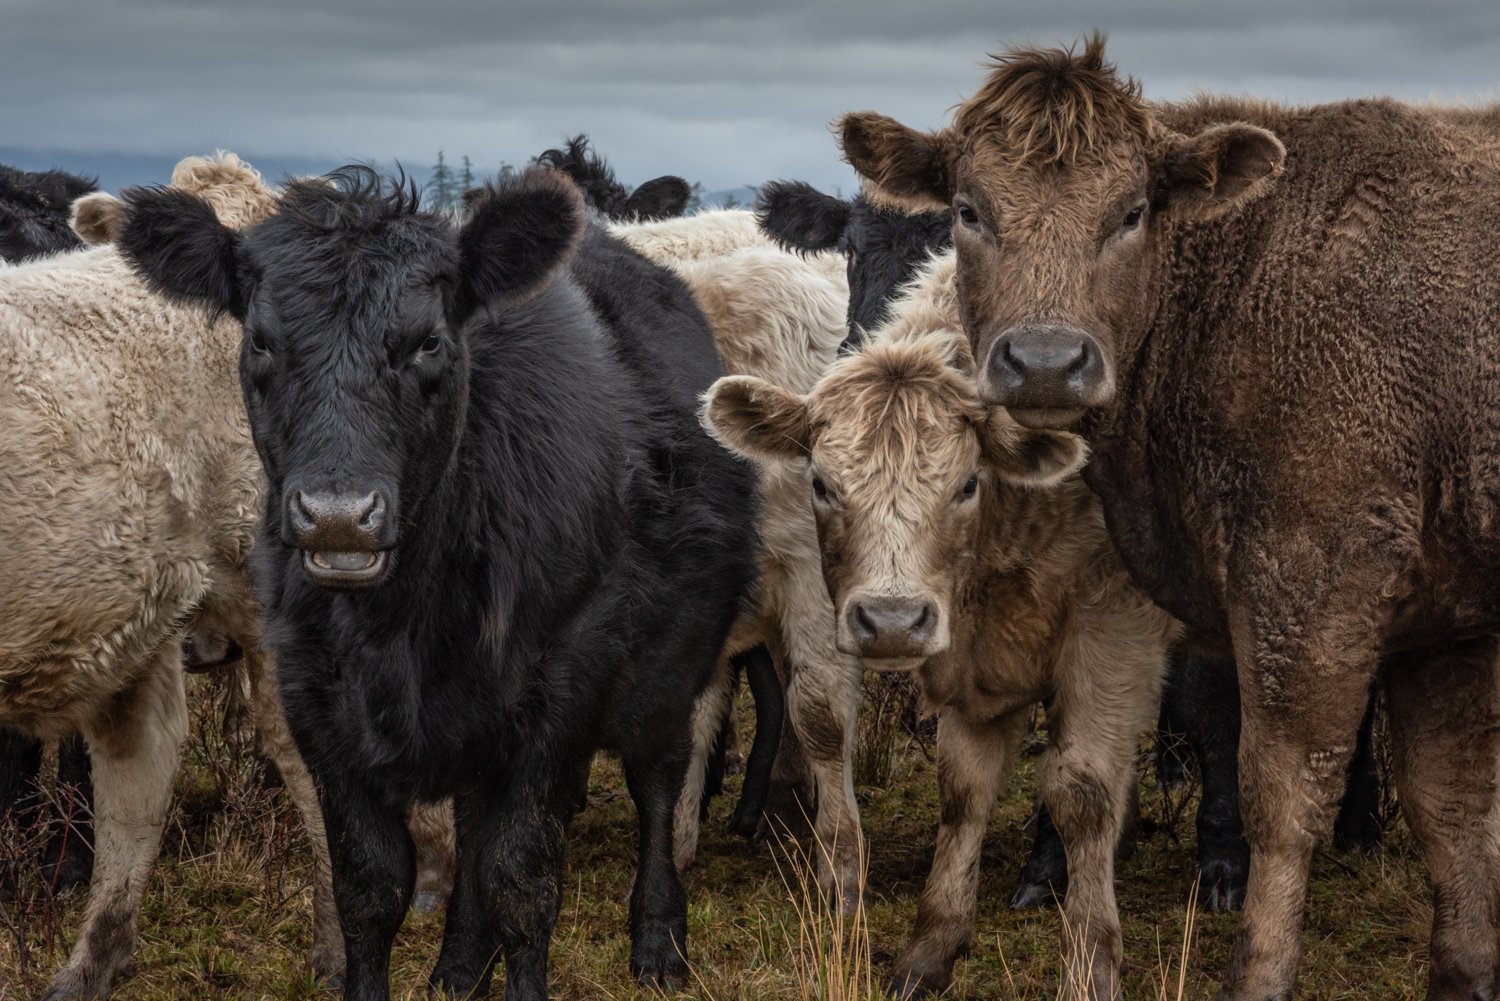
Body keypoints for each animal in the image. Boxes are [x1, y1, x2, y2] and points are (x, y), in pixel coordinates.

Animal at [118, 166, 756, 1001]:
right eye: (261, 340)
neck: (404, 622)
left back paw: (657, 941)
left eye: (428, 342)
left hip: (671, 661)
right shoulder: (317, 701)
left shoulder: (558, 695)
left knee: (658, 776)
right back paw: (459, 965)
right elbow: (371, 887)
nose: (339, 517)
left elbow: (523, 883)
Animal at [705, 316, 1182, 996]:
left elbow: (1083, 793)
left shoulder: (1115, 627)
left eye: (967, 483)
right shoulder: (977, 667)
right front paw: (932, 946)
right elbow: (964, 791)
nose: (892, 622)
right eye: (821, 485)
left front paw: (1092, 966)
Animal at [840, 31, 1500, 1001]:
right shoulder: (1445, 618)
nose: (1047, 361)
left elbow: (1283, 794)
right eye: (967, 209)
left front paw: (1256, 973)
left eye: (1133, 211)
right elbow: (1448, 801)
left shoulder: (1312, 584)